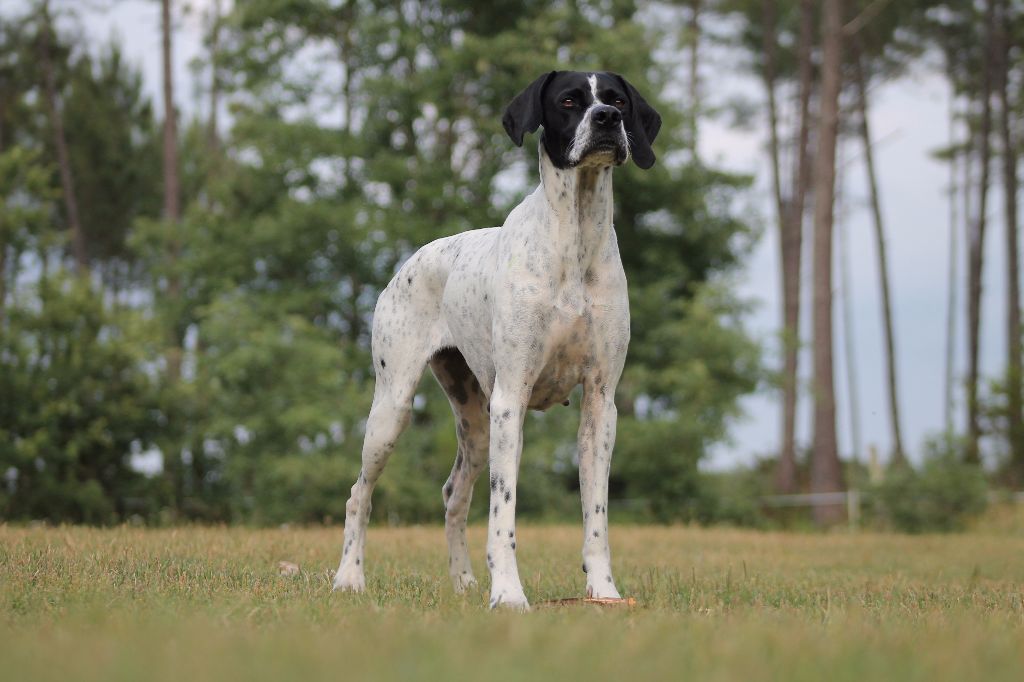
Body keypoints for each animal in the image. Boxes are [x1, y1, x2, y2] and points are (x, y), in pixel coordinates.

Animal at [331, 71, 659, 606]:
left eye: (617, 100)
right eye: (570, 101)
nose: (606, 119)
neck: (574, 241)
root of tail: (411, 260)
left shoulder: (600, 404)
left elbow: (596, 517)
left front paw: (604, 592)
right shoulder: (512, 399)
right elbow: (503, 513)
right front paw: (507, 594)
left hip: (476, 422)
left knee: (453, 495)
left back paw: (463, 582)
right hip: (393, 410)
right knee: (360, 494)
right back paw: (349, 577)